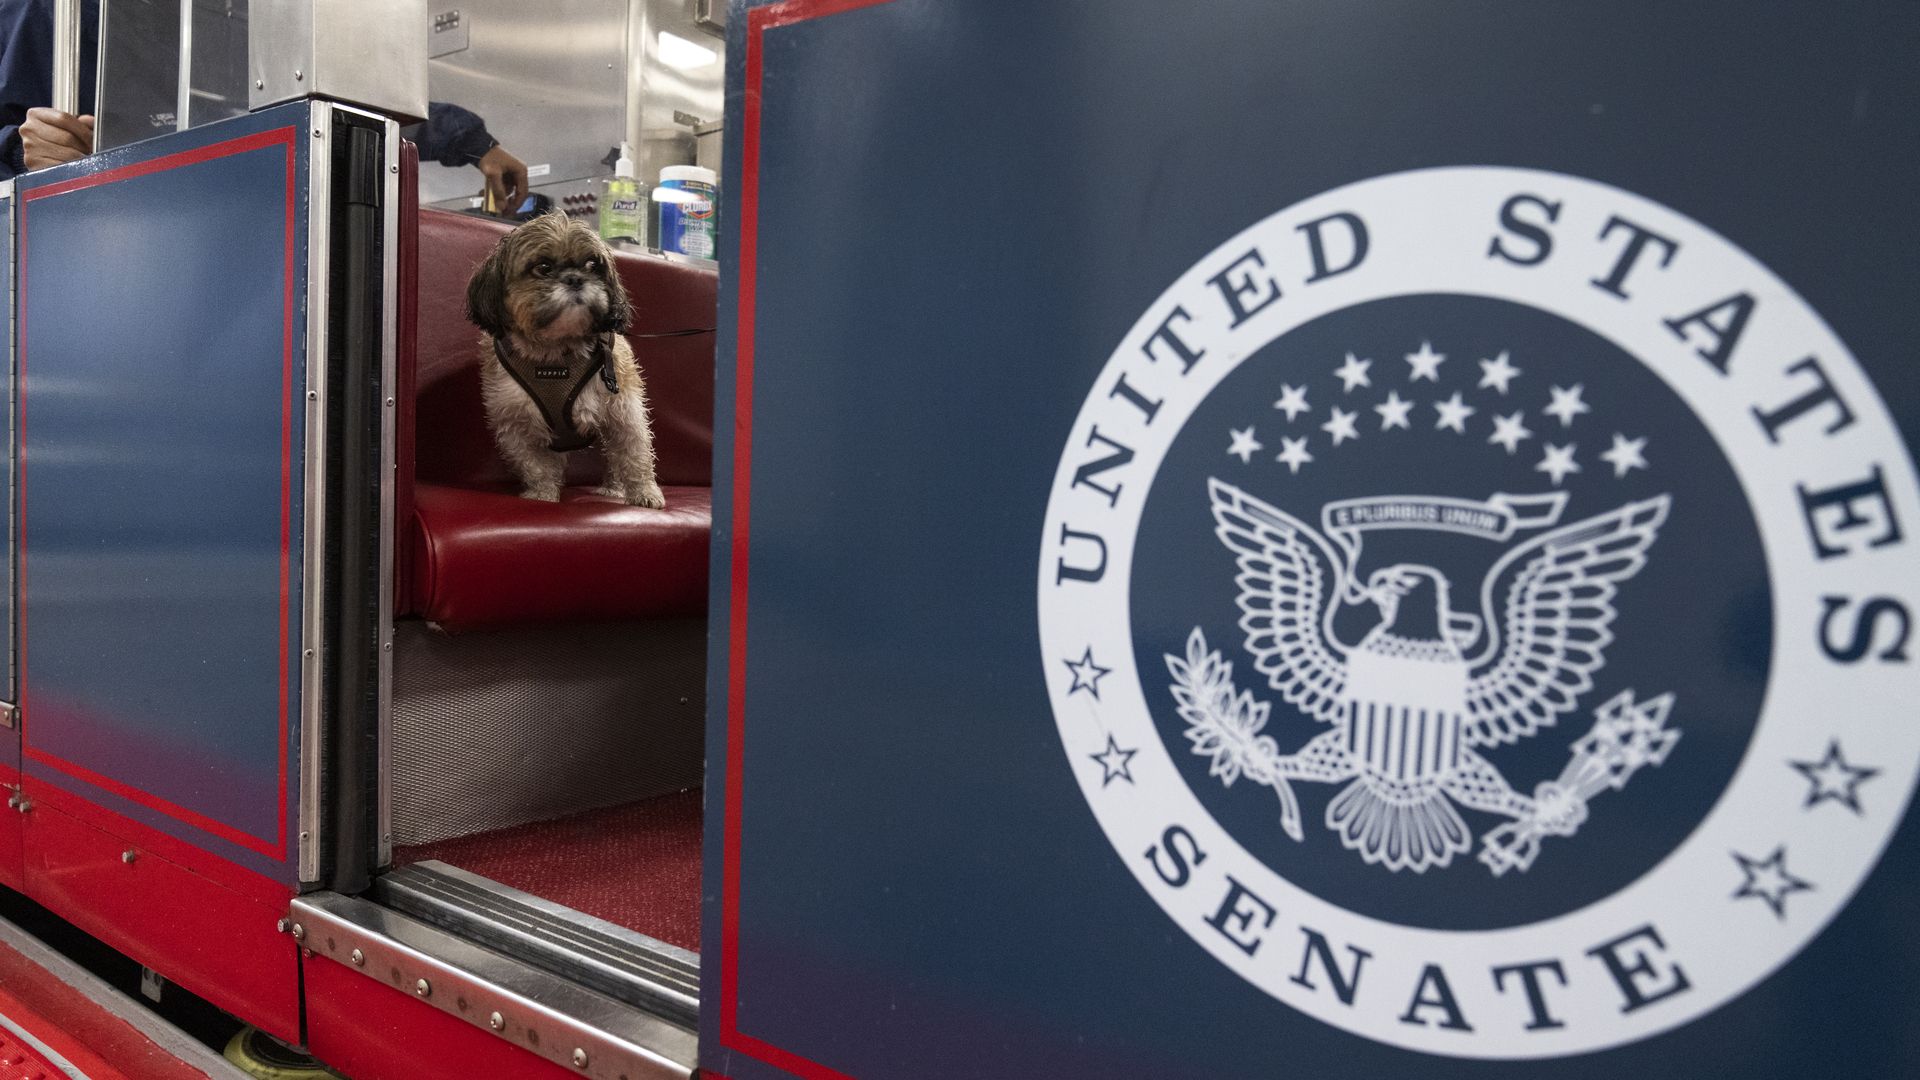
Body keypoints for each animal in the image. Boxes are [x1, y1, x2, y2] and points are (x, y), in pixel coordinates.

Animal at [464, 215, 668, 511]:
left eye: (593, 265)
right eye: (543, 267)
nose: (575, 278)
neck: (557, 355)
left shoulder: (625, 412)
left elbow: (634, 454)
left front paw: (645, 492)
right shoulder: (515, 424)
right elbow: (535, 465)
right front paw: (542, 493)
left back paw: (614, 488)